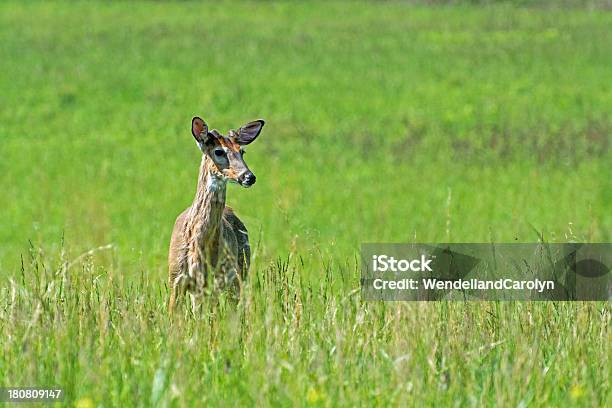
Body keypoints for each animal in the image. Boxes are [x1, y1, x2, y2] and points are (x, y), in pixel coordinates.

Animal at [167, 115, 266, 312]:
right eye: (219, 151)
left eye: (242, 151)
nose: (249, 177)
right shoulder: (175, 278)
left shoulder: (213, 281)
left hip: (239, 272)